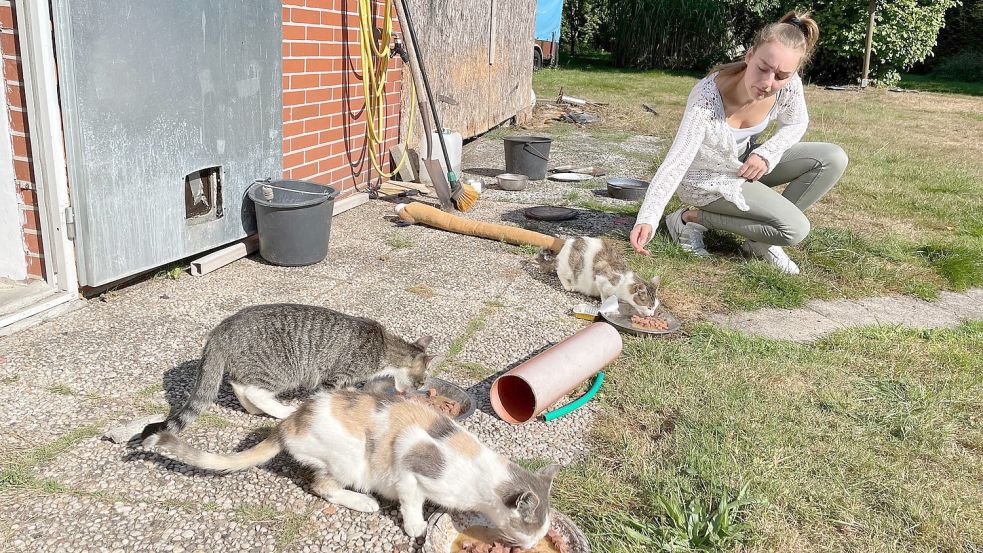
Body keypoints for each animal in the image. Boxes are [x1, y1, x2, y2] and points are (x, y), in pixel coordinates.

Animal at [140, 302, 440, 444]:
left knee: (239, 384)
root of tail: (221, 329)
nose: (416, 391)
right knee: (252, 389)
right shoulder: (335, 375)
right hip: (281, 369)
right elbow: (327, 393)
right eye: (421, 380)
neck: (384, 348)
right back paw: (279, 409)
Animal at [150, 388, 556, 548]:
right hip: (350, 458)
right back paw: (366, 502)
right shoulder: (410, 462)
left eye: (542, 532)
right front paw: (415, 526)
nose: (534, 543)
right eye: (531, 529)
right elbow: (411, 501)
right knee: (321, 485)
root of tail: (290, 421)